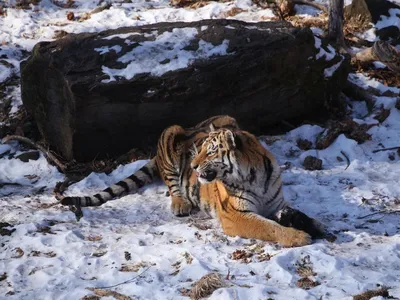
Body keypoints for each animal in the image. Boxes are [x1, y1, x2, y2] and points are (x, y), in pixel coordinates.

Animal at [61, 116, 326, 247]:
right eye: (201, 149)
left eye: (211, 151)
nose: (194, 165)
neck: (254, 176)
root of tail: (191, 126)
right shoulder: (235, 215)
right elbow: (268, 227)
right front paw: (298, 237)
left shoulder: (277, 203)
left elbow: (298, 214)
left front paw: (316, 225)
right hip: (169, 133)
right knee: (171, 184)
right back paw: (180, 204)